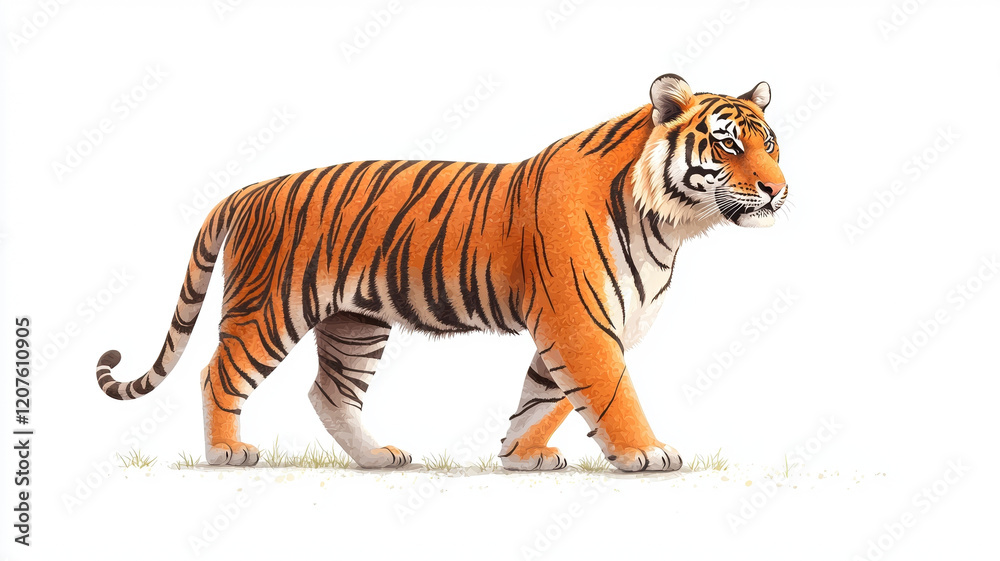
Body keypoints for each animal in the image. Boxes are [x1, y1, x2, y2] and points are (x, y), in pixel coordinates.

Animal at [95, 73, 787, 472]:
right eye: (727, 144)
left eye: (771, 143)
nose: (779, 191)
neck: (670, 224)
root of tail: (245, 190)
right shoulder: (581, 322)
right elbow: (608, 393)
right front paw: (645, 451)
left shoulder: (575, 326)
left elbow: (545, 397)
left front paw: (520, 456)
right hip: (267, 310)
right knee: (219, 372)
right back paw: (225, 453)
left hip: (355, 324)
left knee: (330, 393)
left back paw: (376, 458)